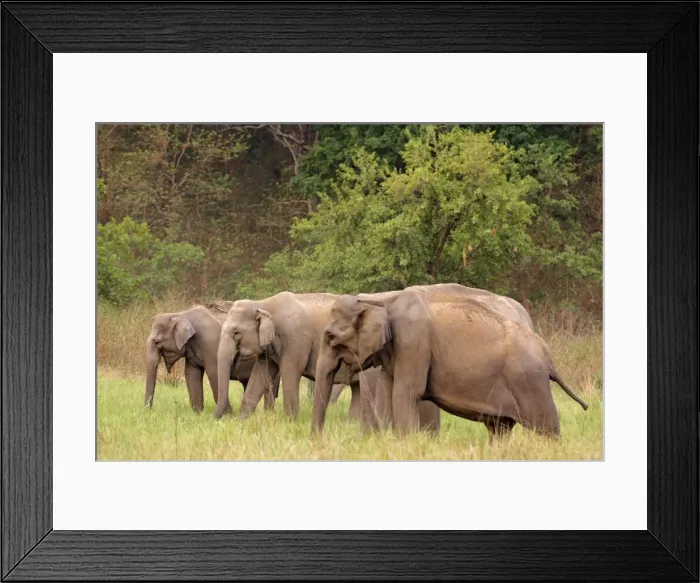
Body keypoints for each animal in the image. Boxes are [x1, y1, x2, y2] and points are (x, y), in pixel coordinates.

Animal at [144, 301, 280, 413]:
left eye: (156, 342)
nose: (148, 411)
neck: (182, 313)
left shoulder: (210, 342)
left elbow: (214, 372)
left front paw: (227, 414)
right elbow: (191, 374)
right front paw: (198, 413)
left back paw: (268, 413)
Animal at [311, 289, 588, 440]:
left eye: (331, 337)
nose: (318, 441)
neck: (384, 300)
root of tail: (548, 356)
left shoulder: (414, 343)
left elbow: (405, 394)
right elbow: (390, 392)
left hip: (529, 381)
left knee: (547, 426)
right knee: (499, 428)